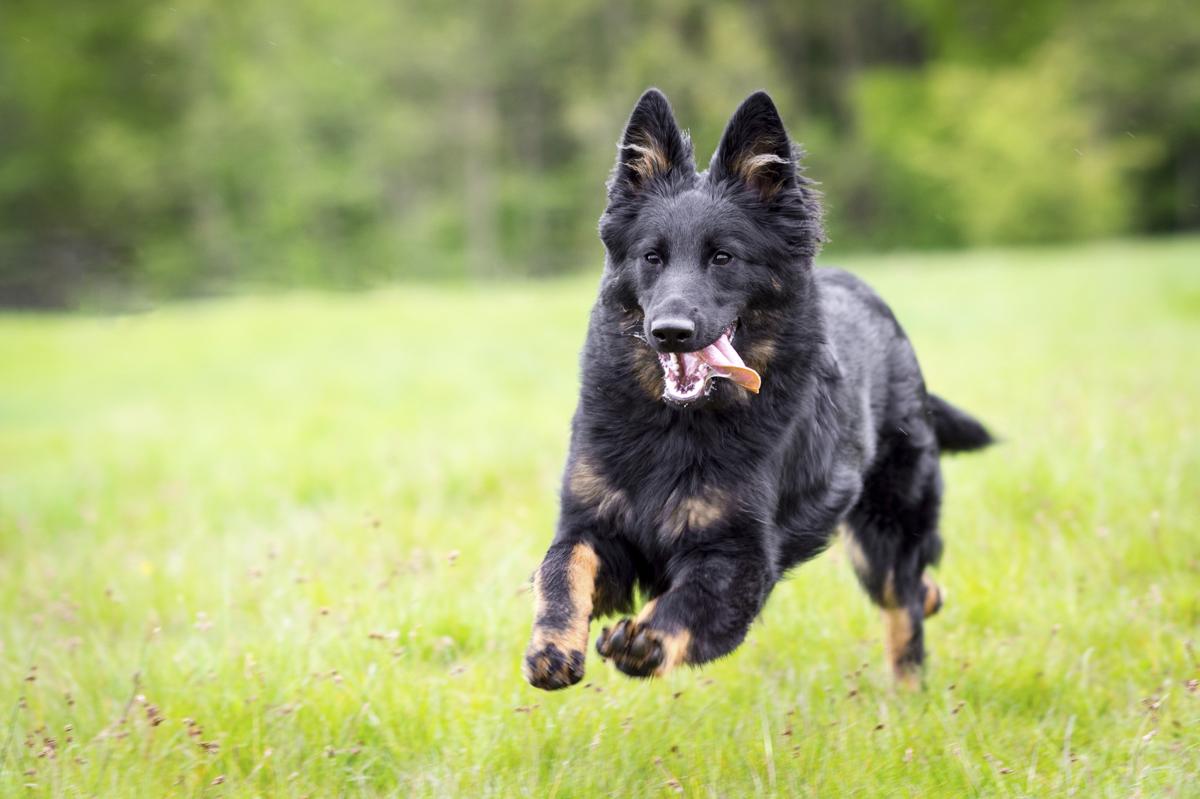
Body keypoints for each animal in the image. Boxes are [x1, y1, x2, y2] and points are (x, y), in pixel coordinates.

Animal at [520, 85, 988, 686]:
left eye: (723, 257)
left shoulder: (741, 553)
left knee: (903, 601)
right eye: (652, 257)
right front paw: (552, 646)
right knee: (916, 589)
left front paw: (647, 639)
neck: (675, 425)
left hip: (883, 530)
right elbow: (560, 566)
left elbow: (692, 599)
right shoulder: (593, 523)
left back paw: (908, 688)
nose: (670, 331)